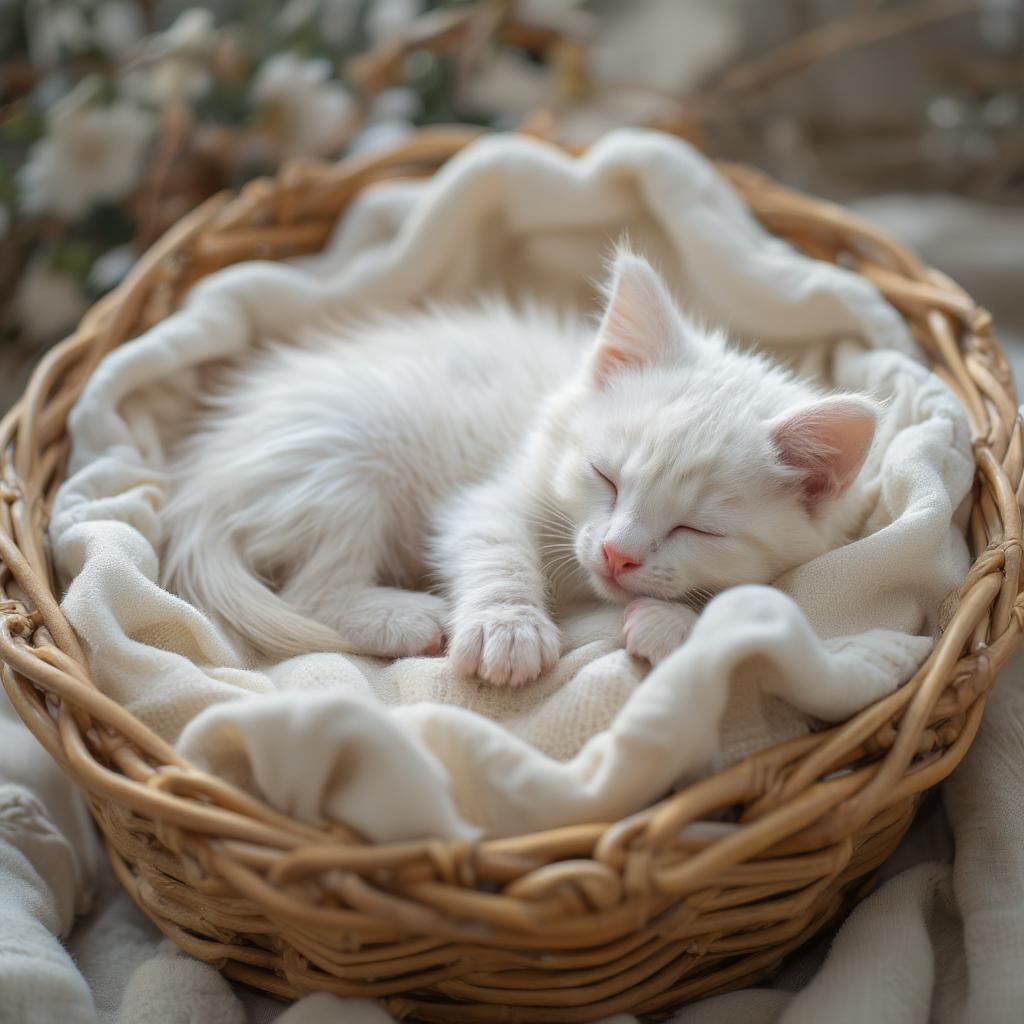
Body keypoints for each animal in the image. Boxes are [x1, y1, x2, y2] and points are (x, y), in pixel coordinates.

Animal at [163, 245, 876, 688]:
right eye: (604, 477)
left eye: (697, 529)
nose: (617, 554)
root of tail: (204, 477)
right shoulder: (494, 492)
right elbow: (490, 538)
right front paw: (508, 629)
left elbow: (756, 599)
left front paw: (673, 620)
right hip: (346, 461)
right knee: (310, 590)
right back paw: (407, 618)